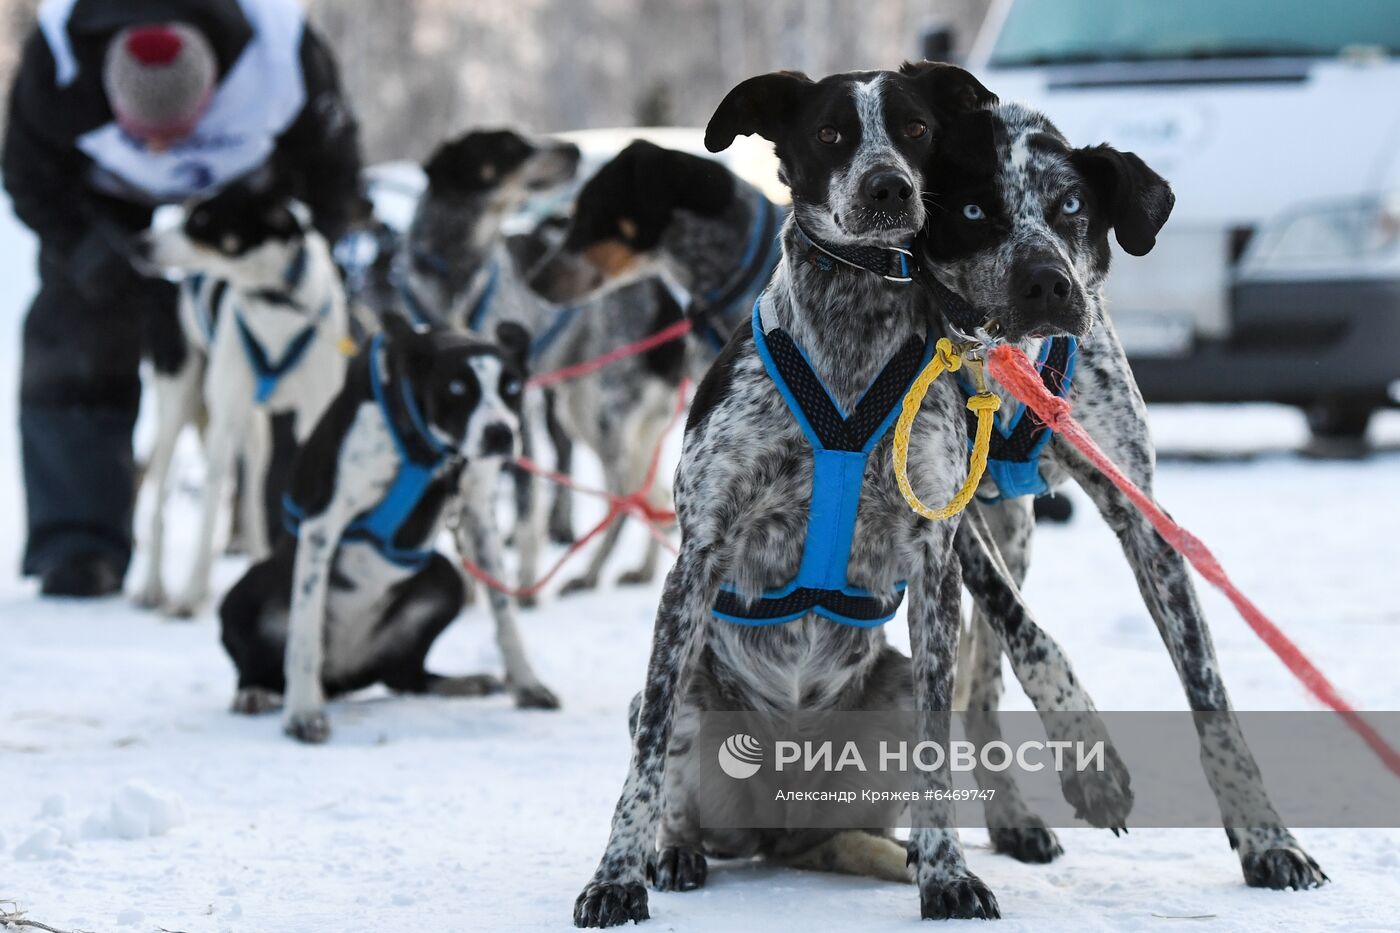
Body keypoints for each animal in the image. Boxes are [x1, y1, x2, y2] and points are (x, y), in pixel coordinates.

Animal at [133, 183, 350, 616]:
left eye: (201, 221)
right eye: (185, 213)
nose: (140, 244)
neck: (274, 301)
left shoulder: (315, 412)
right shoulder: (225, 416)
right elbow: (208, 510)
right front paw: (190, 595)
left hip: (255, 429)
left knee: (252, 483)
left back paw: (257, 554)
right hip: (178, 407)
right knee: (161, 493)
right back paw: (154, 587)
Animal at [221, 312, 560, 739]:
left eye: (512, 387)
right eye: (457, 388)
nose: (500, 432)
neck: (429, 448)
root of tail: (344, 674)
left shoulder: (478, 514)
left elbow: (505, 613)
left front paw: (527, 684)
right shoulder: (323, 522)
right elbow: (304, 631)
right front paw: (302, 712)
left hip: (445, 577)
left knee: (405, 676)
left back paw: (462, 682)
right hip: (241, 593)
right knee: (260, 665)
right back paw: (256, 692)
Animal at [406, 128, 688, 596]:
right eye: (508, 146)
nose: (572, 149)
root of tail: (667, 296)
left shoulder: (517, 419)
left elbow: (523, 512)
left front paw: (522, 586)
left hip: (602, 418)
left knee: (626, 497)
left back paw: (590, 573)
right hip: (583, 412)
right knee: (653, 498)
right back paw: (642, 571)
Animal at [568, 63, 1136, 924]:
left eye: (916, 131)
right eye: (831, 132)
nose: (888, 186)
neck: (849, 339)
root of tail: (784, 823)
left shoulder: (935, 562)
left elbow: (940, 747)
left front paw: (945, 874)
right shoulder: (698, 557)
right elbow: (643, 760)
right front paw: (615, 876)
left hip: (888, 695)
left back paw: (901, 856)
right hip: (698, 699)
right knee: (672, 769)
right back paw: (675, 851)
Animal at [918, 100, 1321, 885]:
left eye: (1071, 205)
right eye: (974, 210)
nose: (1048, 284)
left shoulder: (1141, 513)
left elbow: (1209, 691)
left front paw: (1266, 834)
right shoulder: (950, 519)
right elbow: (1032, 634)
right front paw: (1089, 755)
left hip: (1017, 530)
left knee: (980, 686)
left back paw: (1009, 815)